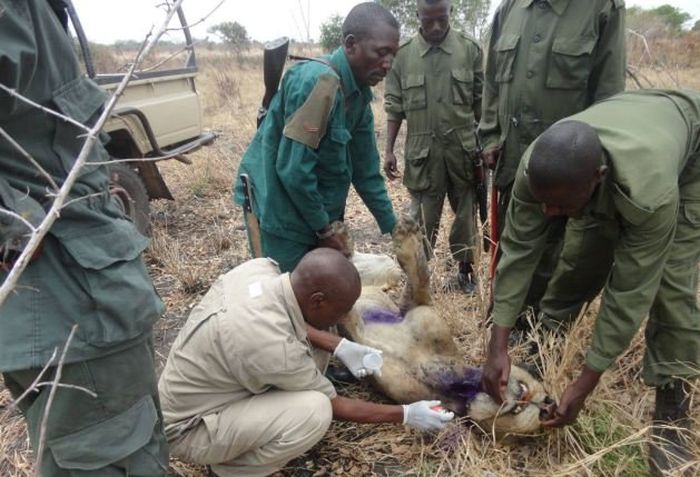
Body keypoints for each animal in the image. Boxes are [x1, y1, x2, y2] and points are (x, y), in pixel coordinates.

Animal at [342, 216, 556, 436]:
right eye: (525, 388)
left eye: (519, 411)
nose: (546, 405)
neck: (454, 380)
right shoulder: (417, 310)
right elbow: (421, 277)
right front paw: (409, 234)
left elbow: (352, 324)